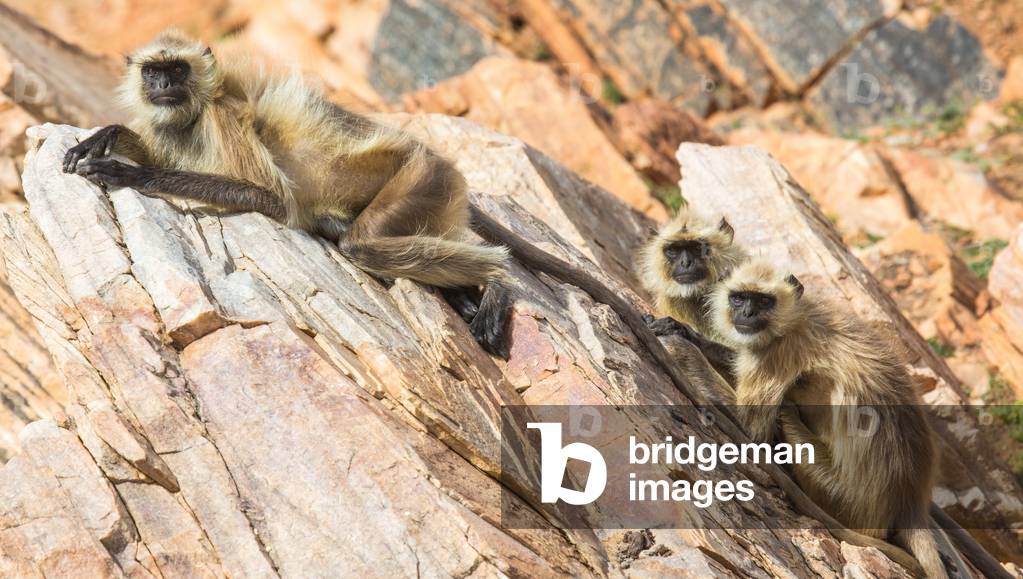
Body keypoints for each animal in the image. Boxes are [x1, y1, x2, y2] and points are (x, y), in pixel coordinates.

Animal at [61, 30, 513, 357]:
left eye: (177, 67)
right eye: (152, 71)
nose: (163, 83)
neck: (193, 115)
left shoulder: (221, 113)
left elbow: (272, 197)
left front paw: (131, 173)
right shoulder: (165, 124)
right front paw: (106, 135)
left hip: (421, 175)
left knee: (361, 243)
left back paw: (498, 279)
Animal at [710, 260, 948, 578]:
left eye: (763, 301)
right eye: (739, 298)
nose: (747, 314)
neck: (796, 318)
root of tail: (910, 499)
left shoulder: (775, 355)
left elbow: (751, 433)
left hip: (835, 492)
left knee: (791, 405)